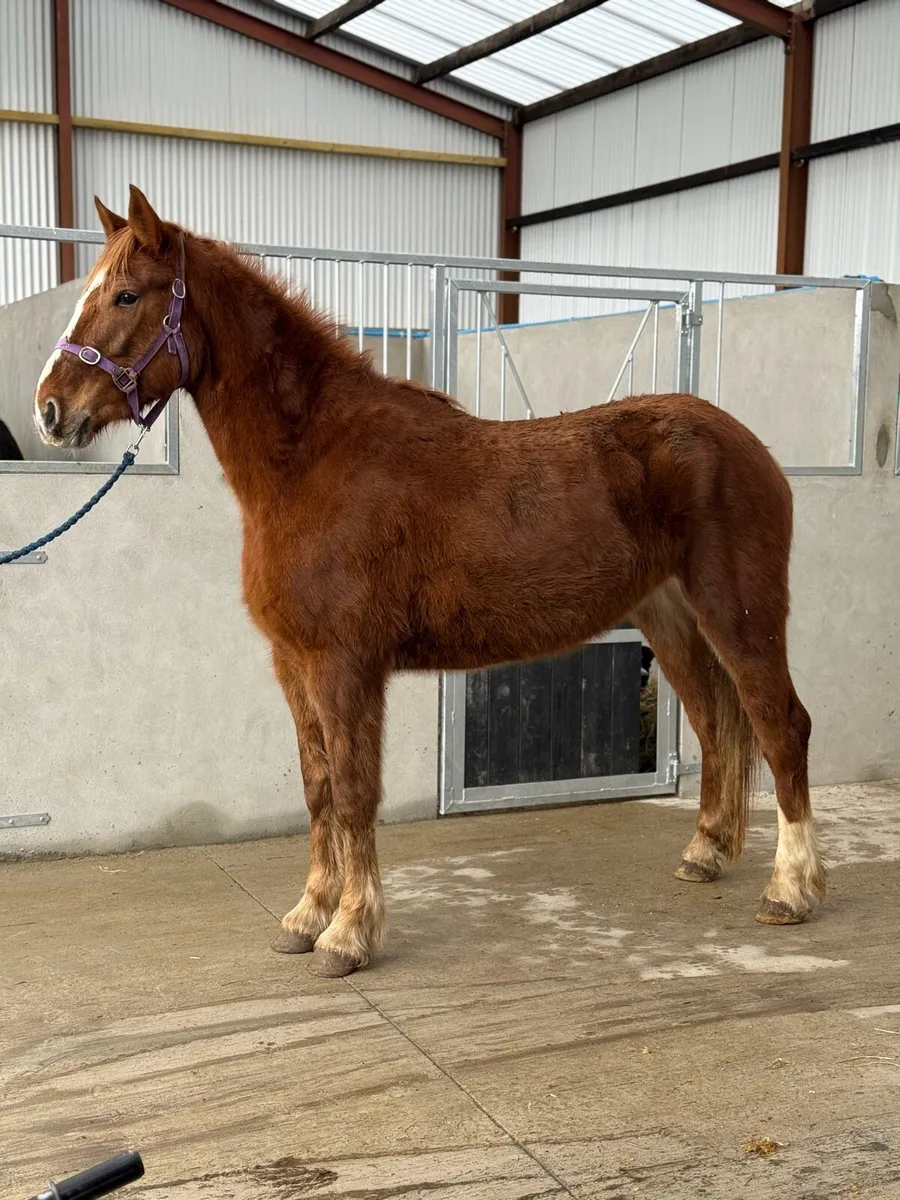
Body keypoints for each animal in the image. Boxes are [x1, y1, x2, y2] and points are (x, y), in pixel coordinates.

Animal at [33, 186, 825, 977]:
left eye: (127, 294)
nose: (49, 409)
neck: (312, 460)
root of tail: (747, 445)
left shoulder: (345, 665)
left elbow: (355, 792)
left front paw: (349, 934)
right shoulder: (293, 662)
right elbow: (318, 789)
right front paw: (306, 917)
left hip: (741, 615)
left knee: (782, 728)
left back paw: (791, 890)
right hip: (671, 621)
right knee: (718, 727)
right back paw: (706, 854)